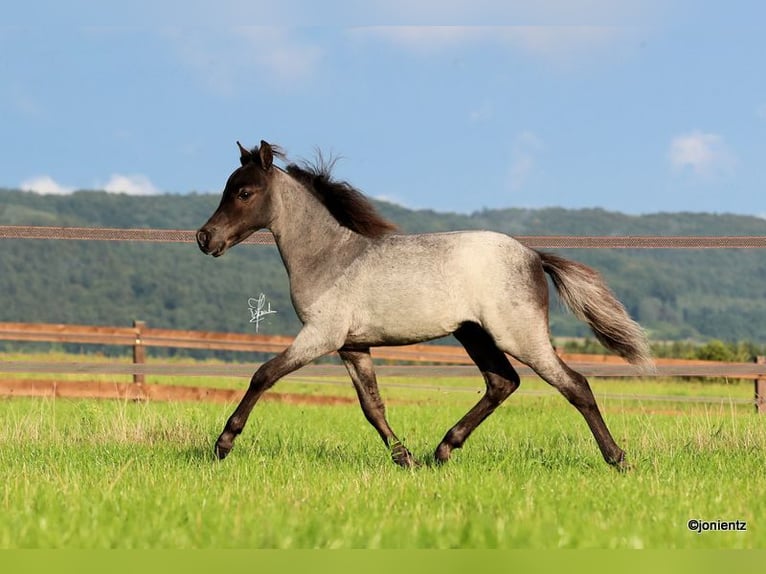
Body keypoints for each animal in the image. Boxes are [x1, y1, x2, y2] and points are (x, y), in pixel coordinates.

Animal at [198, 141, 656, 472]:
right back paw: (443, 450)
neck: (329, 256)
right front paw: (406, 458)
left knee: (575, 385)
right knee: (502, 382)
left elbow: (263, 374)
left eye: (243, 192)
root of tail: (532, 255)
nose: (205, 238)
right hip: (474, 334)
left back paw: (618, 460)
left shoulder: (320, 336)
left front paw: (222, 444)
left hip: (520, 335)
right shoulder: (352, 346)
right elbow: (372, 405)